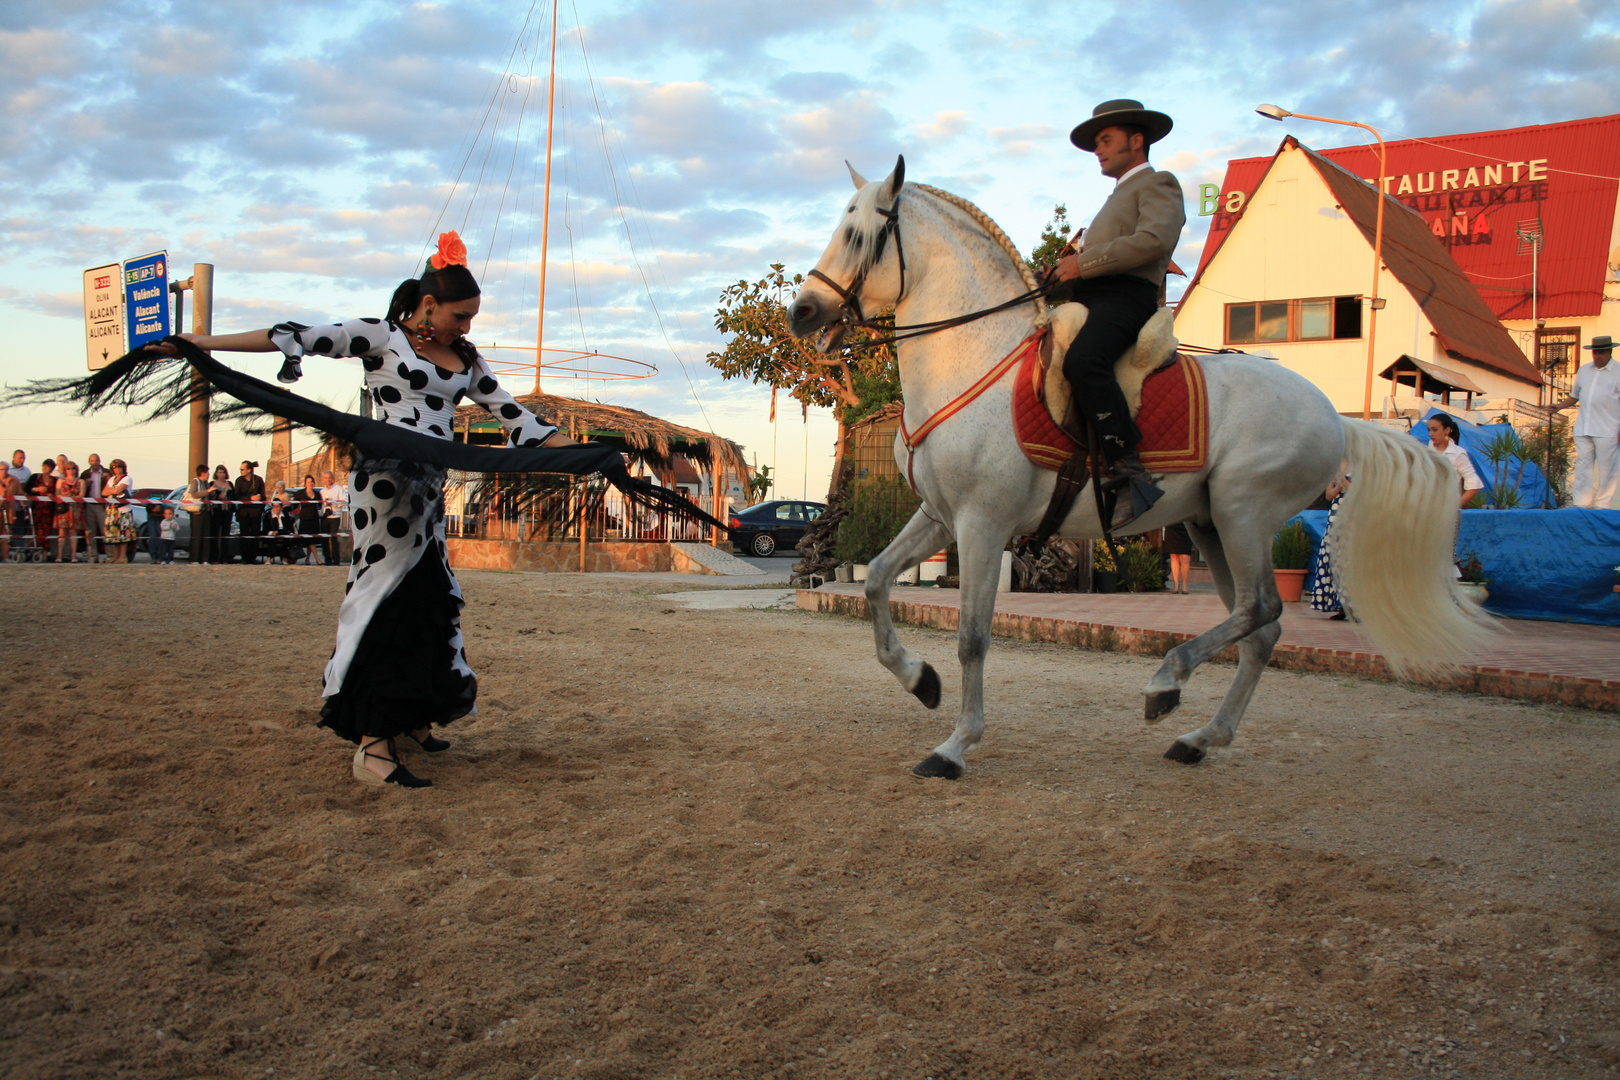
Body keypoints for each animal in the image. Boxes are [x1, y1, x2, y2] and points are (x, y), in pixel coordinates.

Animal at [787, 158, 1490, 777]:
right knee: (1259, 629)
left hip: (1243, 513)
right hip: (1211, 527)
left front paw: (956, 745)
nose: (802, 312)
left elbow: (972, 637)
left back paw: (1166, 681)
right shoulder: (939, 515)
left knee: (1261, 608)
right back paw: (1200, 737)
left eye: (858, 234)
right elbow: (878, 581)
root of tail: (1334, 417)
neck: (975, 360)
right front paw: (921, 682)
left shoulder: (983, 525)